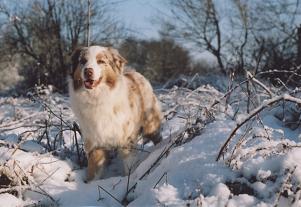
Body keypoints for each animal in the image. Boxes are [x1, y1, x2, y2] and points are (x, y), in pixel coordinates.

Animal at [68, 45, 162, 181]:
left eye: (101, 61)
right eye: (83, 61)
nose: (88, 71)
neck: (97, 98)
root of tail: (135, 73)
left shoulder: (127, 140)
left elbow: (129, 167)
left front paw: (128, 180)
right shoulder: (95, 142)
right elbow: (93, 171)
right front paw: (89, 185)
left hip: (150, 125)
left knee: (157, 137)